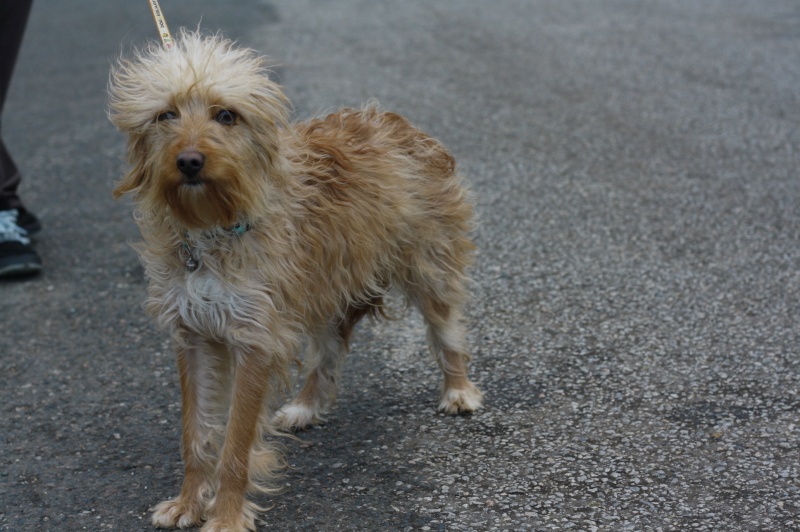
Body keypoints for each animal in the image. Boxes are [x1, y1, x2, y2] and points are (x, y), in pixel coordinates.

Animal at [106, 31, 482, 528]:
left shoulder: (255, 340)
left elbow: (235, 445)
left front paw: (226, 516)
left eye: (226, 115)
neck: (214, 229)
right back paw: (307, 405)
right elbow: (196, 435)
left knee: (446, 329)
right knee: (330, 349)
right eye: (166, 114)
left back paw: (458, 390)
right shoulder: (192, 336)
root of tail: (393, 121)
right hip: (323, 289)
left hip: (427, 267)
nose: (189, 161)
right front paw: (189, 503)